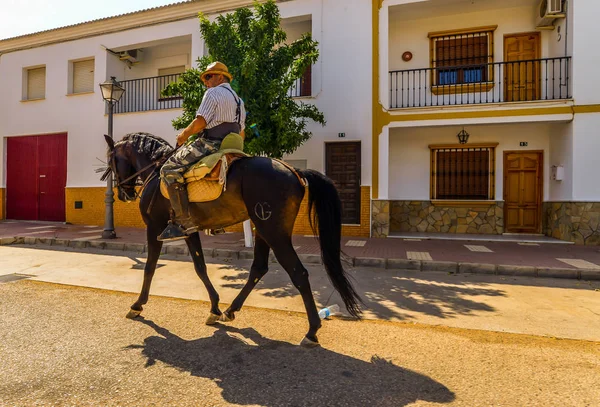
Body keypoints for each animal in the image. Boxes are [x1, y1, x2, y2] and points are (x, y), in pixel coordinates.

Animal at [103, 134, 360, 348]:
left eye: (112, 160)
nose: (123, 193)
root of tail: (294, 170)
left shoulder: (154, 227)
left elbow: (149, 267)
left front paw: (137, 305)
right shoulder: (188, 230)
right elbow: (200, 267)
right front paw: (215, 308)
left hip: (274, 231)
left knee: (298, 273)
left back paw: (312, 331)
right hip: (262, 229)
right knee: (259, 268)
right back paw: (230, 310)